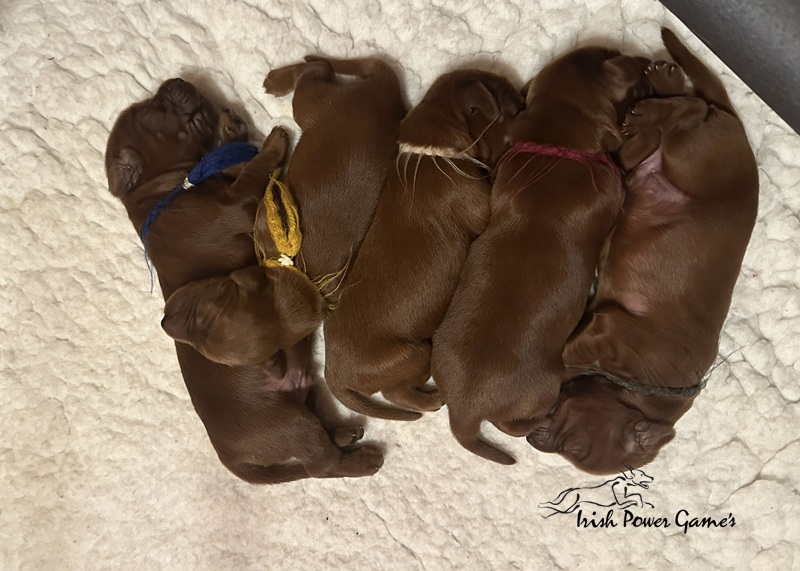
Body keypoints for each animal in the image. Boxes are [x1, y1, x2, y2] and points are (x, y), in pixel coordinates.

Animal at [106, 78, 382, 483]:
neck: (160, 194)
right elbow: (254, 171)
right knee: (320, 465)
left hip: (301, 398)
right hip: (289, 424)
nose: (178, 81)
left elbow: (241, 165)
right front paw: (274, 144)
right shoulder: (235, 206)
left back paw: (345, 433)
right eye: (149, 112)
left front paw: (232, 130)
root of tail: (232, 461)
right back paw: (364, 459)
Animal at [322, 69, 524, 420]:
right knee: (396, 392)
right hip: (415, 354)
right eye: (510, 109)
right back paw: (432, 400)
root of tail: (333, 375)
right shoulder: (476, 205)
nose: (526, 100)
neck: (431, 150)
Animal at [431, 48, 650, 464]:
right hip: (542, 386)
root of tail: (464, 412)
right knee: (511, 425)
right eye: (621, 59)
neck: (558, 145)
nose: (647, 60)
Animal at [528, 29, 759, 474]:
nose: (530, 439)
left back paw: (662, 84)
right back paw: (658, 97)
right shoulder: (609, 334)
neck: (644, 392)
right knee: (689, 111)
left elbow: (571, 360)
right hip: (693, 158)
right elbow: (571, 355)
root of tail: (737, 125)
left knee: (680, 117)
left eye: (572, 448)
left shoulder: (605, 332)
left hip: (666, 162)